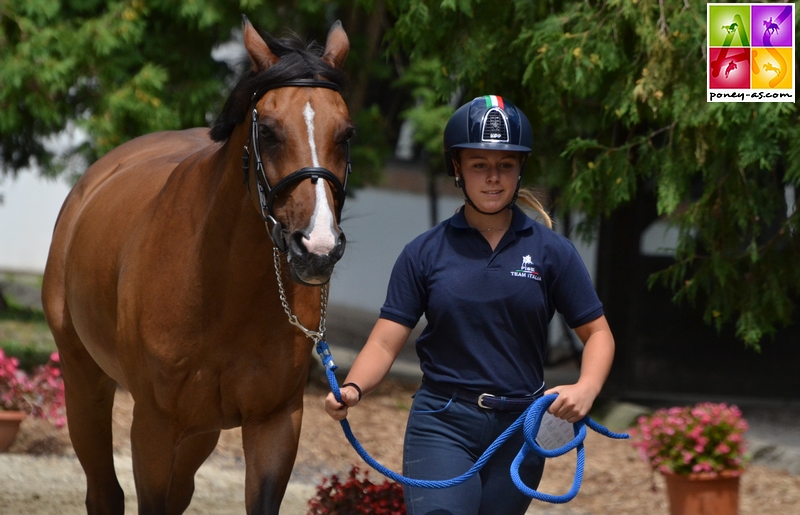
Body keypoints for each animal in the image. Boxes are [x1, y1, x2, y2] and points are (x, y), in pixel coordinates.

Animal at [41, 17, 354, 515]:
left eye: (346, 134)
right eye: (268, 131)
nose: (318, 247)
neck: (221, 288)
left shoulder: (275, 422)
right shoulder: (153, 425)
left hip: (200, 430)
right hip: (84, 380)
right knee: (104, 492)